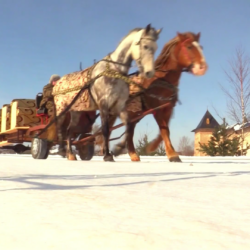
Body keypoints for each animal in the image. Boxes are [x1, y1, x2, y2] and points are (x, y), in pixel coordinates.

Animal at [52, 23, 162, 161]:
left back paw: (70, 154)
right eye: (145, 46)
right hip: (61, 110)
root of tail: (58, 83)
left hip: (76, 111)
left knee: (69, 131)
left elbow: (128, 125)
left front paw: (118, 149)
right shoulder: (103, 104)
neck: (114, 71)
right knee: (60, 129)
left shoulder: (119, 105)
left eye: (156, 47)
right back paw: (61, 150)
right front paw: (107, 155)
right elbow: (105, 129)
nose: (149, 72)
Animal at [112, 31, 208, 162]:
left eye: (201, 47)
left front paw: (153, 147)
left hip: (134, 115)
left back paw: (132, 154)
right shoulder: (156, 109)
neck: (161, 80)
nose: (202, 67)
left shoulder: (167, 108)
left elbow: (165, 130)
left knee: (129, 131)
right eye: (189, 47)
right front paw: (172, 154)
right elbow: (164, 130)